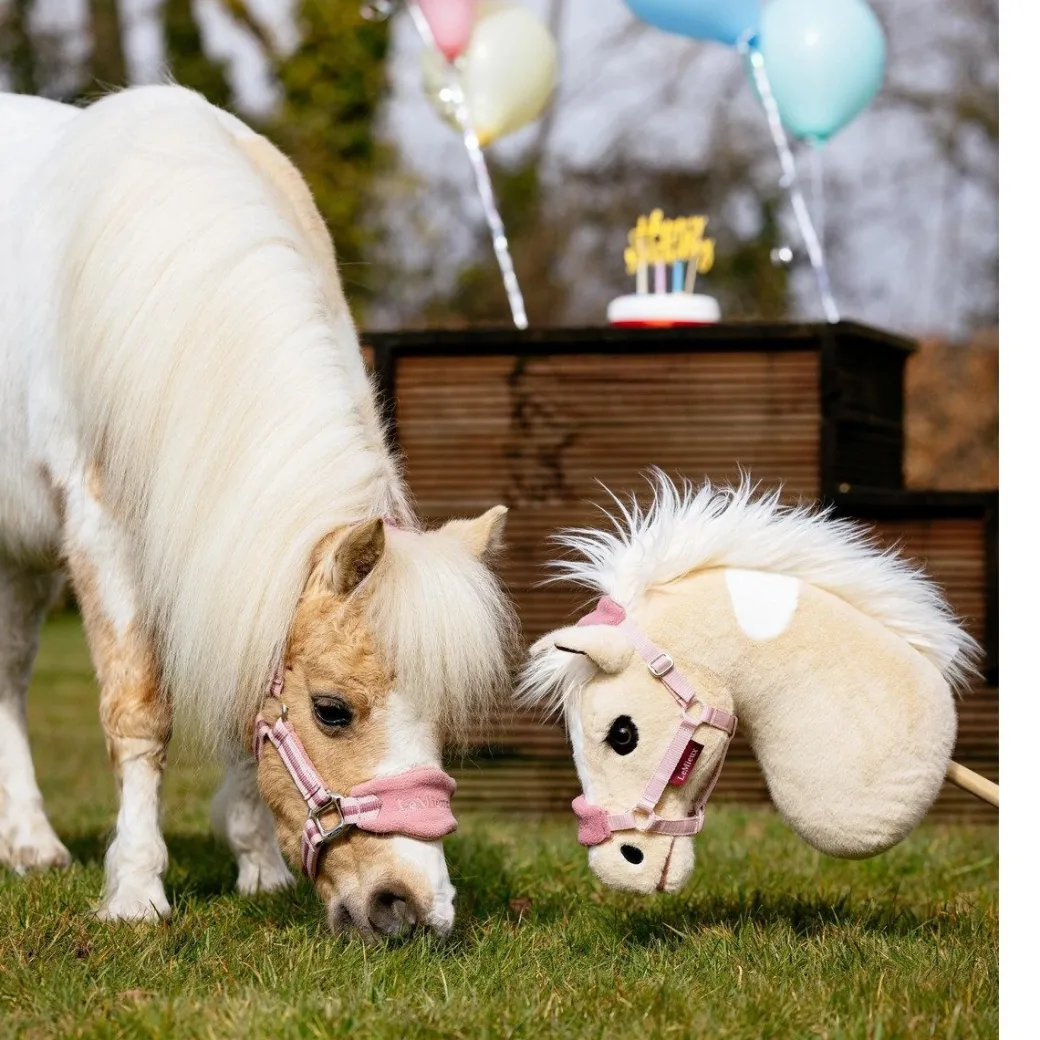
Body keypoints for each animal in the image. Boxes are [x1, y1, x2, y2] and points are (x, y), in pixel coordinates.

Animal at [0, 85, 519, 937]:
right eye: (333, 710)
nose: (410, 909)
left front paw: (258, 869)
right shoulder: (103, 534)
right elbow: (138, 712)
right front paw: (136, 891)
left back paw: (30, 842)